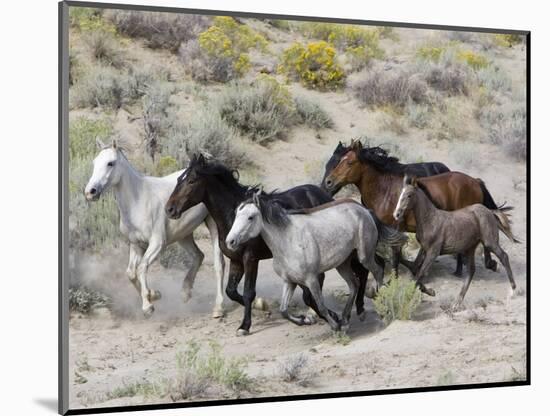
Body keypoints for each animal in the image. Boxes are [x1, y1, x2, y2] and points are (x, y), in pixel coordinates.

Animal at [84, 138, 226, 316]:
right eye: (94, 162)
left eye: (110, 163)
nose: (90, 192)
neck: (138, 201)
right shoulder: (136, 244)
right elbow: (131, 273)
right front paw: (154, 295)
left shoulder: (157, 243)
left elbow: (142, 267)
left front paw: (148, 306)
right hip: (183, 234)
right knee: (198, 255)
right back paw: (185, 293)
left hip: (213, 226)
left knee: (219, 264)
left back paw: (218, 308)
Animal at [164, 154, 380, 336]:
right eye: (178, 179)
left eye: (191, 181)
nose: (170, 209)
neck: (230, 217)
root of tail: (322, 193)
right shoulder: (236, 261)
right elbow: (232, 291)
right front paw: (264, 307)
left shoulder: (250, 259)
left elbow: (249, 292)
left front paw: (245, 325)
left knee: (360, 272)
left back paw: (357, 309)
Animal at [226, 191, 408, 332]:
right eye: (236, 215)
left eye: (250, 217)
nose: (230, 241)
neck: (288, 240)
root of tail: (364, 210)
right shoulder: (289, 281)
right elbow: (283, 310)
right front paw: (303, 320)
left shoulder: (311, 279)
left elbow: (319, 305)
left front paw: (334, 327)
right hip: (343, 263)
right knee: (354, 284)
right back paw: (345, 319)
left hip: (364, 256)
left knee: (377, 271)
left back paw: (383, 305)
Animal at [322, 140, 512, 276]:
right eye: (337, 161)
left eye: (349, 162)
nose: (328, 183)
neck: (384, 191)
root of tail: (475, 181)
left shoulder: (395, 229)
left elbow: (396, 256)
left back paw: (482, 265)